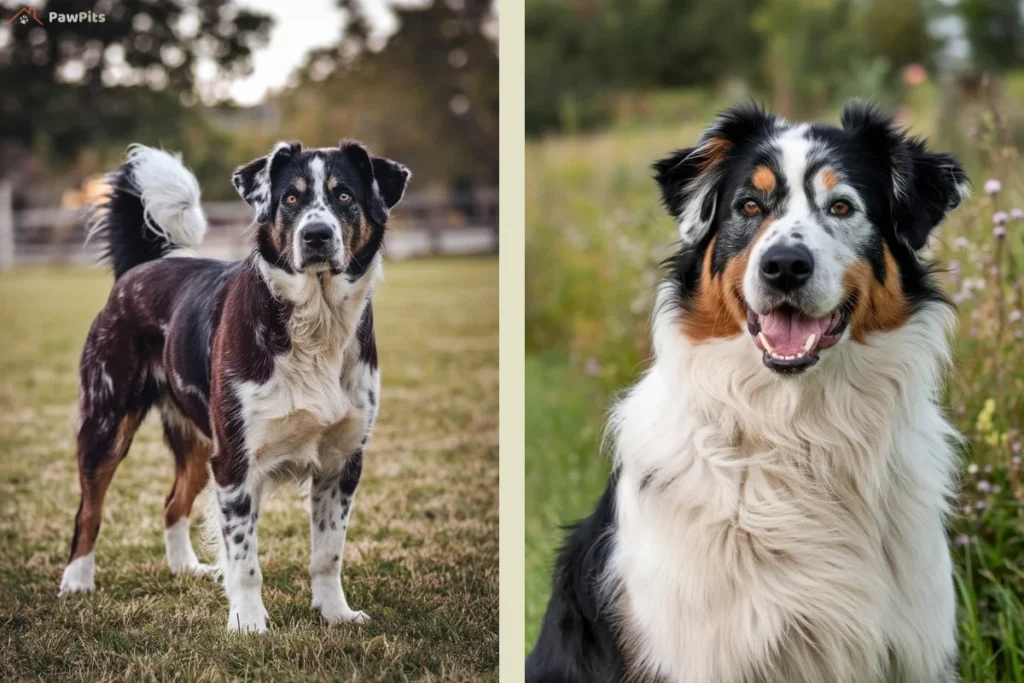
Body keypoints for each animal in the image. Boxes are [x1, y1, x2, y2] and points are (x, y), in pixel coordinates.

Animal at [59, 140, 409, 634]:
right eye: (291, 198)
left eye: (344, 195)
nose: (316, 235)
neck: (315, 323)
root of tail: (142, 269)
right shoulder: (236, 462)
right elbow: (244, 560)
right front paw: (248, 624)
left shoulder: (342, 462)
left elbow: (328, 554)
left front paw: (335, 613)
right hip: (108, 424)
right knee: (88, 510)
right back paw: (77, 580)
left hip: (199, 443)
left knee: (172, 503)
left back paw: (184, 567)